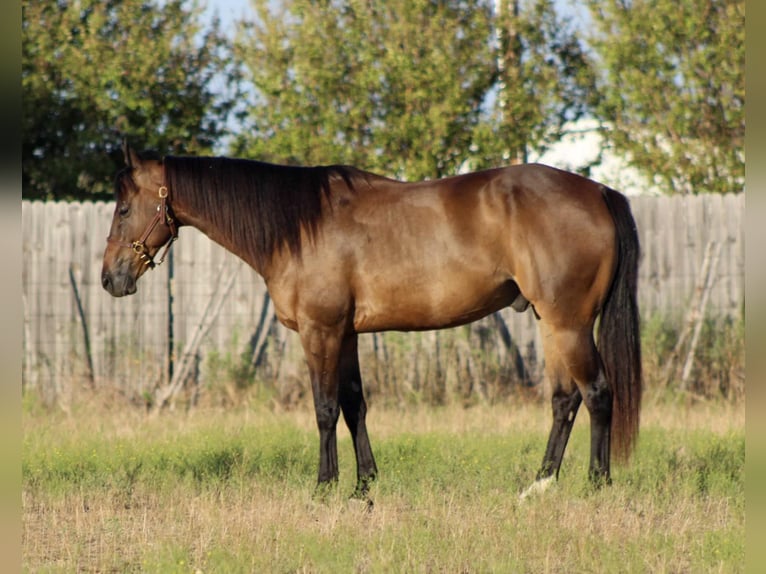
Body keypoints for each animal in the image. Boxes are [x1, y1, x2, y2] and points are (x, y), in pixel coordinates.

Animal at [102, 142, 640, 502]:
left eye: (124, 208)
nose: (111, 278)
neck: (300, 226)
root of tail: (597, 191)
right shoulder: (346, 335)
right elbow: (354, 406)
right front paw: (364, 485)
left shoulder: (320, 332)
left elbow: (323, 408)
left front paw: (324, 487)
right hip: (552, 324)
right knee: (564, 400)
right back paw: (539, 484)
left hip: (569, 325)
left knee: (597, 393)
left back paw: (597, 484)